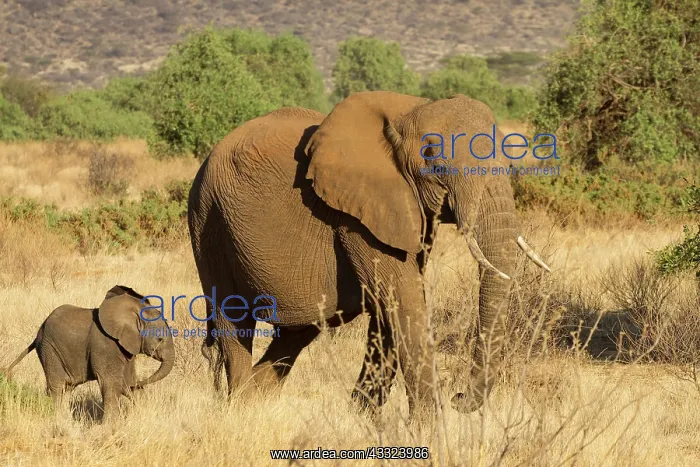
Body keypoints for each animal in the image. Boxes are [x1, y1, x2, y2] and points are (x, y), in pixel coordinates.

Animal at [1, 285, 175, 421]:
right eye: (160, 339)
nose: (139, 384)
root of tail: (38, 332)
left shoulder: (126, 348)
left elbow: (126, 379)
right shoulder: (106, 344)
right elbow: (110, 382)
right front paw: (110, 425)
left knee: (67, 388)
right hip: (48, 348)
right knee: (57, 387)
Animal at [187, 91, 551, 422]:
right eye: (433, 157)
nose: (458, 397)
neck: (410, 110)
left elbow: (392, 306)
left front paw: (362, 418)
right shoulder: (356, 214)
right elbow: (403, 299)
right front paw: (428, 430)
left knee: (298, 331)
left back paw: (257, 399)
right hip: (208, 221)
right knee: (233, 317)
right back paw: (240, 408)